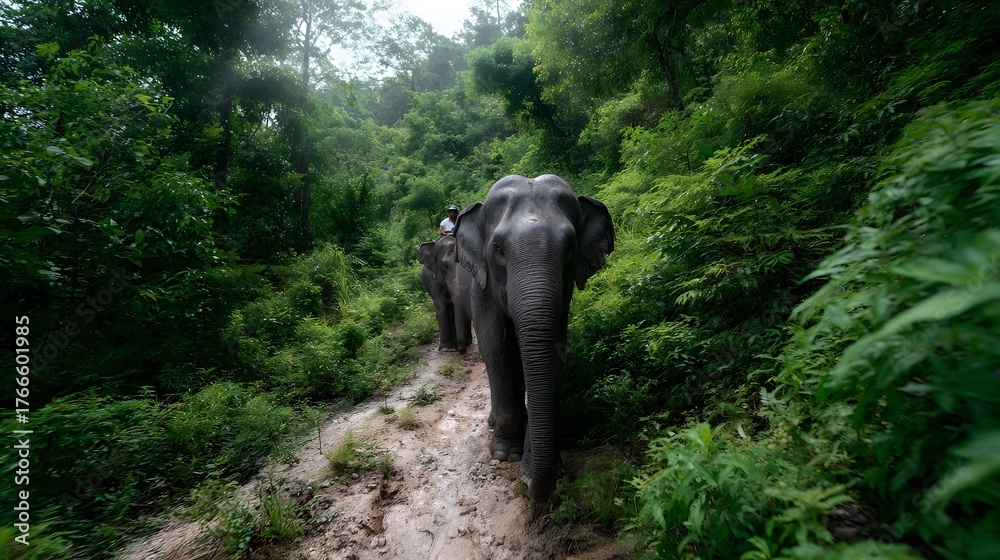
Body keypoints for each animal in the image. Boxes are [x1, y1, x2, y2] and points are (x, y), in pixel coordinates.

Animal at [453, 174, 614, 502]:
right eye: (498, 249)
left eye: (570, 248)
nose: (527, 485)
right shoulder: (482, 287)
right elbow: (494, 345)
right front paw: (505, 455)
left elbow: (553, 348)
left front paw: (545, 468)